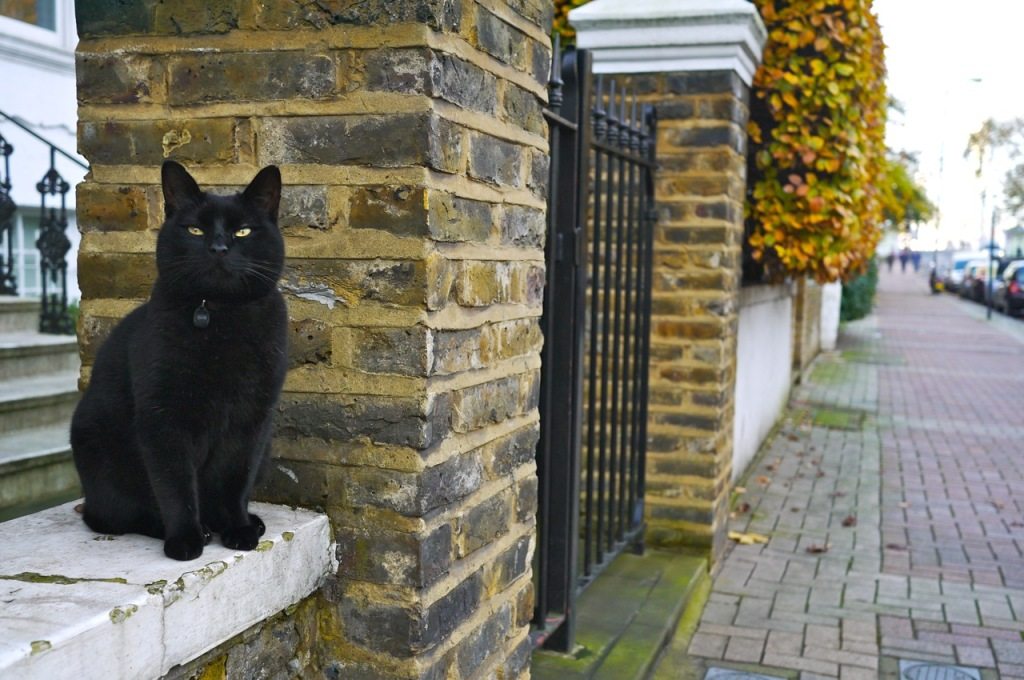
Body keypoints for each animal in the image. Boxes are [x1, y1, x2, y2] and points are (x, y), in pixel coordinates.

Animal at [71, 161, 288, 561]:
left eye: (243, 231)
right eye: (195, 229)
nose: (218, 247)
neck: (219, 315)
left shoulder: (251, 420)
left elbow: (235, 479)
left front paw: (239, 529)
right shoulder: (163, 417)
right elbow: (175, 485)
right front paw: (186, 539)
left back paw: (244, 522)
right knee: (114, 517)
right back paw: (184, 529)